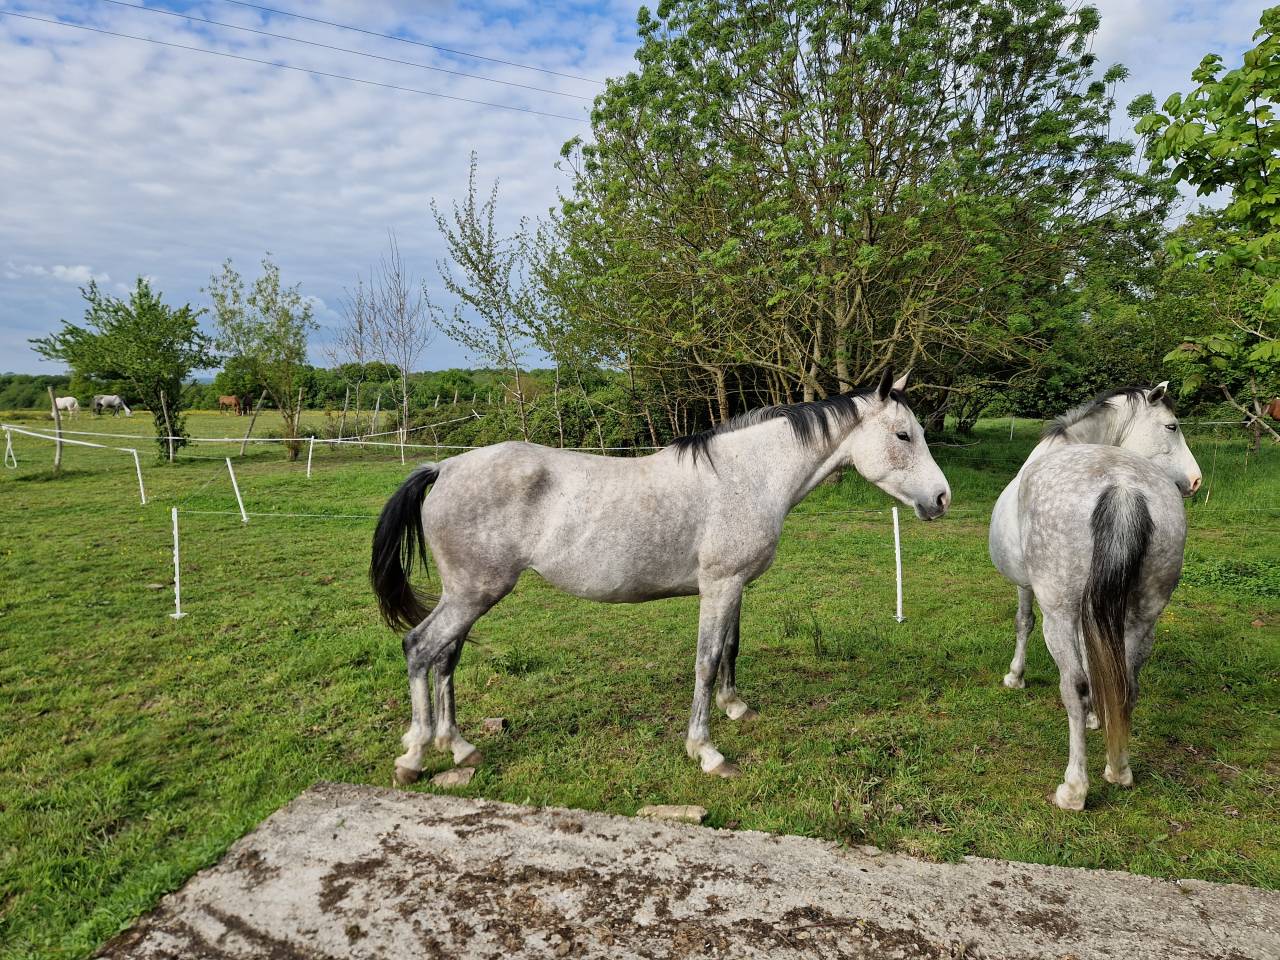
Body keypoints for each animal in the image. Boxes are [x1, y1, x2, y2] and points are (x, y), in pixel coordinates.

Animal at [371, 369, 951, 785]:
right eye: (904, 434)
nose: (942, 499)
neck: (747, 477)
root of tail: (444, 468)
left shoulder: (732, 586)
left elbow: (731, 647)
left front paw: (735, 707)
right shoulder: (720, 585)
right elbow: (707, 660)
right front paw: (707, 751)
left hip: (467, 596)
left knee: (446, 657)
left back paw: (458, 746)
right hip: (473, 593)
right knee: (420, 649)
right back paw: (416, 756)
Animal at [988, 385, 1201, 810]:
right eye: (1171, 426)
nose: (1196, 480)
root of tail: (1120, 485)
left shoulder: (1029, 589)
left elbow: (1024, 624)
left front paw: (1015, 677)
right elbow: (1096, 658)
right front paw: (1096, 720)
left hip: (1059, 614)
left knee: (1075, 686)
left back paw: (1074, 789)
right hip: (1144, 616)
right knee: (1128, 685)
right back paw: (1118, 770)